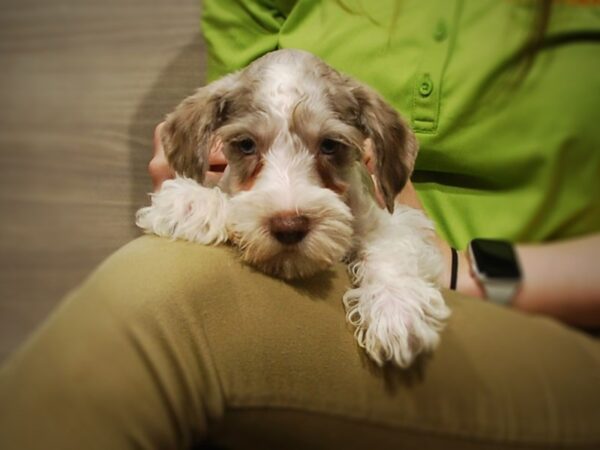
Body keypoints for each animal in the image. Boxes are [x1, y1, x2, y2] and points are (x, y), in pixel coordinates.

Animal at [136, 49, 448, 368]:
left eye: (330, 144)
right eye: (246, 144)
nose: (289, 227)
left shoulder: (391, 219)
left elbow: (390, 247)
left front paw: (396, 309)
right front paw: (192, 202)